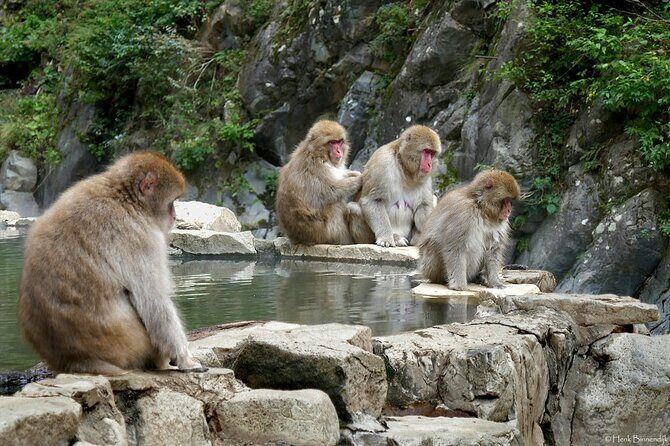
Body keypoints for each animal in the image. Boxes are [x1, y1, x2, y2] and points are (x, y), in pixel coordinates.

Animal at [18, 152, 205, 375]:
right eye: (172, 202)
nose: (175, 216)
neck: (126, 199)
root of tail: (77, 360)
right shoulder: (142, 237)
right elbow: (153, 301)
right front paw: (186, 359)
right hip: (134, 345)